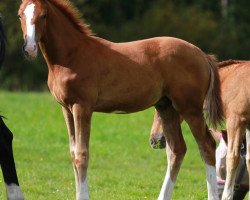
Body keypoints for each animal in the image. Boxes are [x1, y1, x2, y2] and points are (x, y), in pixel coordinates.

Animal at [18, 0, 224, 199]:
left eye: (44, 15)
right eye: (20, 15)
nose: (29, 49)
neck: (71, 55)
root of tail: (202, 54)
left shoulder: (82, 107)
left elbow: (82, 154)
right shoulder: (66, 109)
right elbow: (73, 153)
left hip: (190, 108)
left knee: (206, 146)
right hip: (166, 108)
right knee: (177, 150)